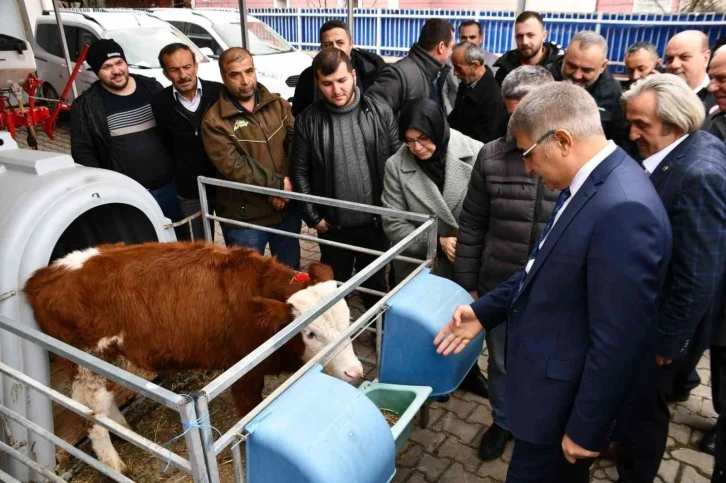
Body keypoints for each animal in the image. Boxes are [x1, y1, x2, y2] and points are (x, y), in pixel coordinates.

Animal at [22, 242, 364, 472]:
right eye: (311, 333)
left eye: (348, 318)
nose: (354, 371)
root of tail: (44, 276)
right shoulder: (244, 372)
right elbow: (248, 412)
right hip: (88, 361)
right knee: (90, 412)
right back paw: (114, 464)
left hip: (107, 360)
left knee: (101, 403)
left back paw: (125, 431)